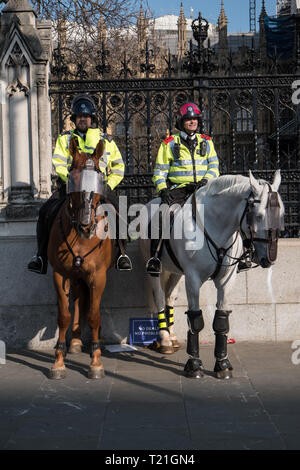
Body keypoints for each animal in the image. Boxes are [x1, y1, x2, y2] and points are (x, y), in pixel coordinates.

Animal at [47, 138, 114, 380]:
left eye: (99, 177)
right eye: (73, 176)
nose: (86, 225)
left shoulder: (98, 276)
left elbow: (94, 314)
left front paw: (96, 362)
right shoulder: (60, 274)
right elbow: (64, 315)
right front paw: (58, 362)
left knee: (90, 303)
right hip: (75, 275)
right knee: (77, 299)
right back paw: (75, 341)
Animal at [139, 171, 284, 380]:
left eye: (281, 215)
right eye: (259, 216)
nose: (269, 259)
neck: (215, 226)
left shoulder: (226, 281)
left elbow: (221, 321)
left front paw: (222, 364)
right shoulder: (192, 278)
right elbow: (195, 320)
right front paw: (194, 365)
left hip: (176, 271)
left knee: (169, 297)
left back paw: (172, 337)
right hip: (154, 269)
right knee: (159, 297)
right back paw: (164, 339)